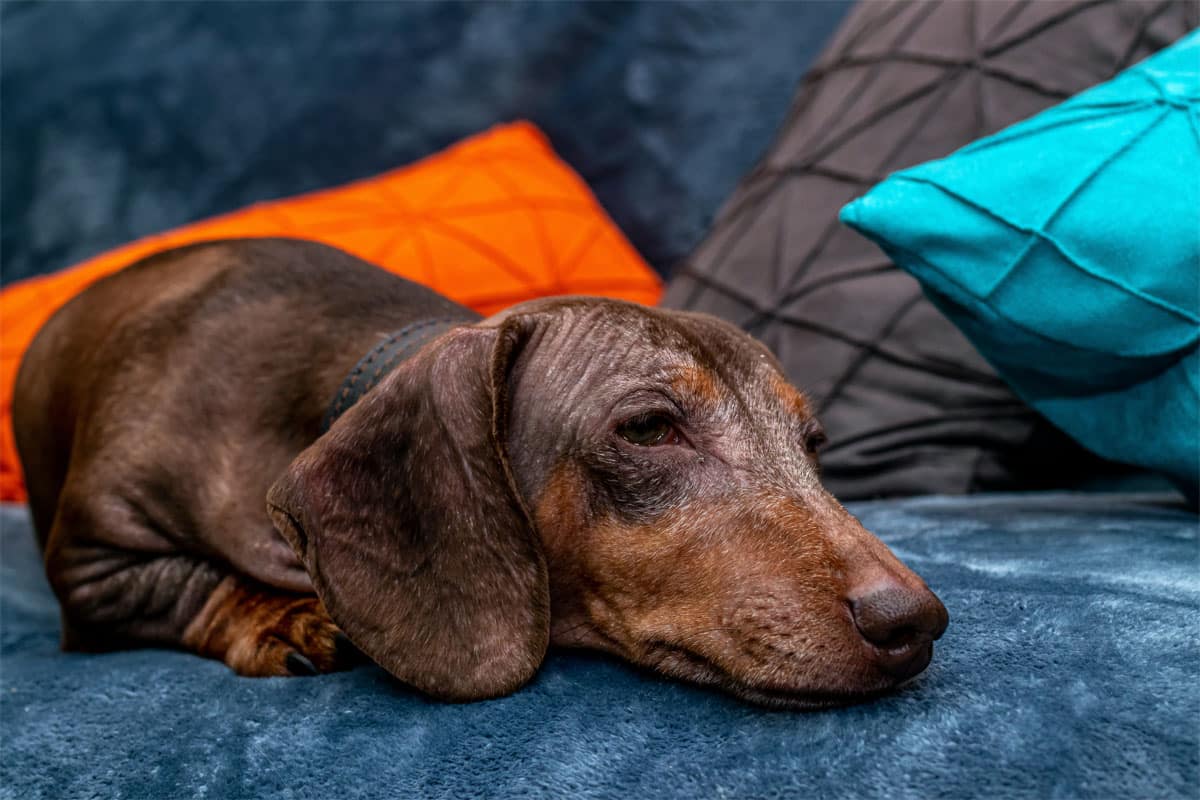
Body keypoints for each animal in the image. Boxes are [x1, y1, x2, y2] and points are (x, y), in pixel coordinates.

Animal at [11, 236, 945, 705]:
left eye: (812, 442)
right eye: (649, 428)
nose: (917, 623)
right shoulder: (95, 562)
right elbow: (191, 586)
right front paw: (285, 617)